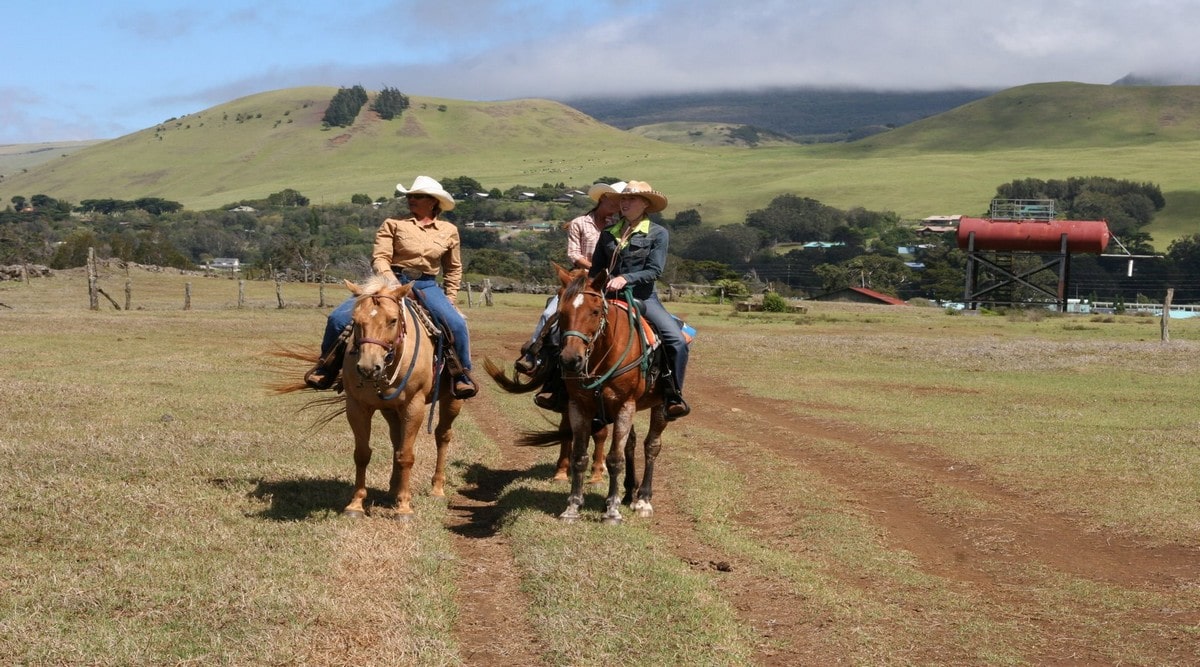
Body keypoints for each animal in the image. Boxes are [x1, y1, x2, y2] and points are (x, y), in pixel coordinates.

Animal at [549, 262, 672, 523]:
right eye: (561, 312)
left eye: (595, 311)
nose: (570, 360)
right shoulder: (579, 406)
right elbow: (579, 456)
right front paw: (572, 507)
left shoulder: (626, 405)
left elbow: (615, 459)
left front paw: (612, 511)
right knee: (631, 444)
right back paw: (629, 494)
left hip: (660, 405)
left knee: (651, 446)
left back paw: (643, 499)